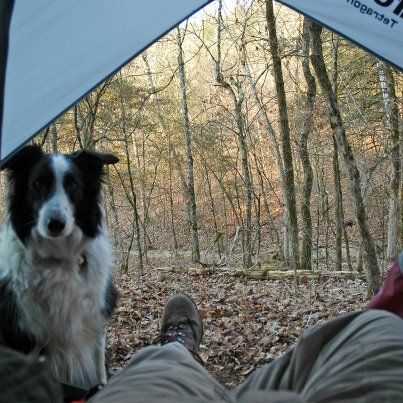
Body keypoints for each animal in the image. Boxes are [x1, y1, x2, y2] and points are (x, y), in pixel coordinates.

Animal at [0, 145, 120, 388]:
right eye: (38, 184)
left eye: (73, 185)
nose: (55, 224)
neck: (60, 257)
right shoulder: (27, 332)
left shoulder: (94, 319)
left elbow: (99, 369)